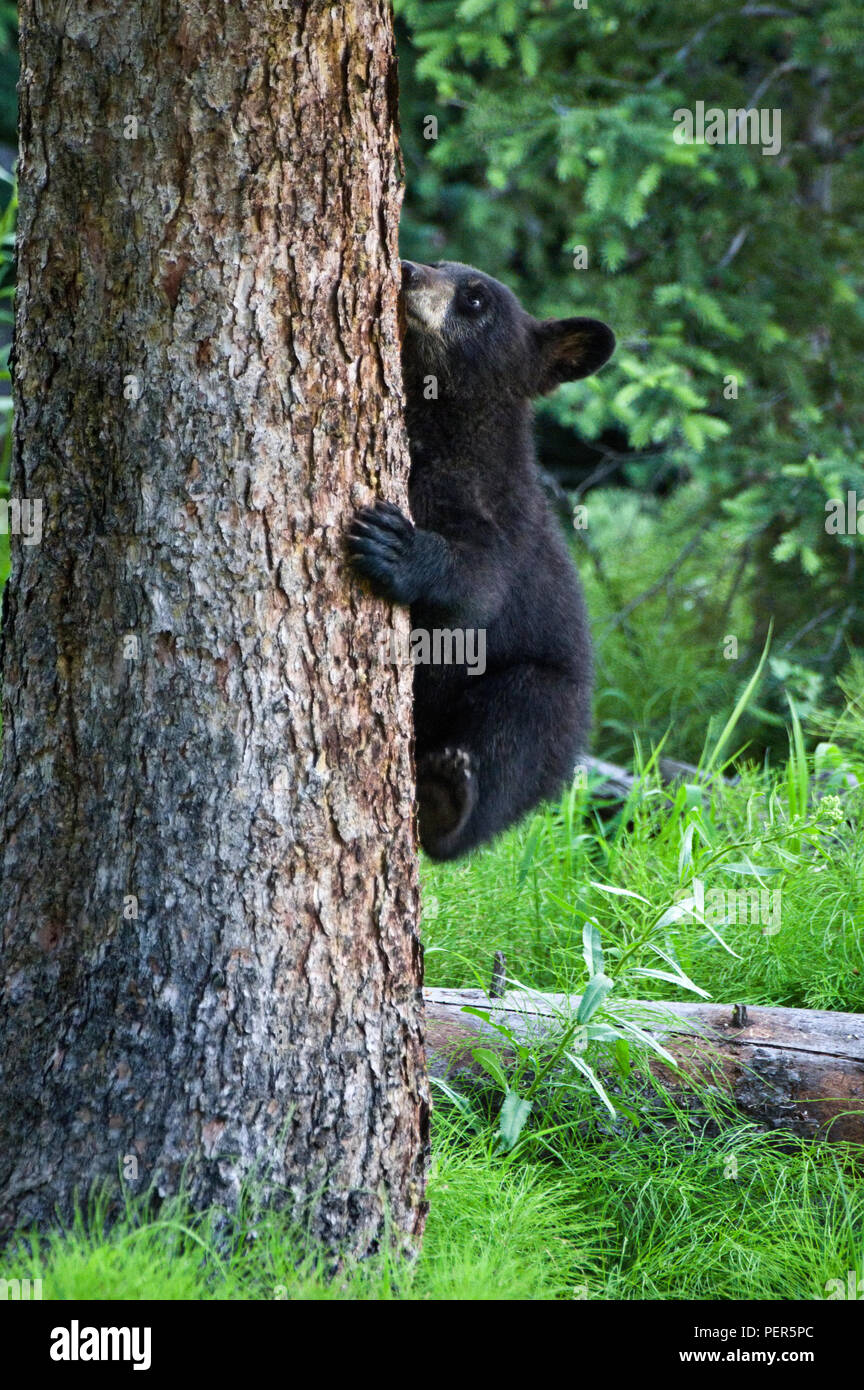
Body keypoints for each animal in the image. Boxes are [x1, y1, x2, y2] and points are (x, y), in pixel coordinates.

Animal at [347, 260, 615, 860]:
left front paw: (395, 546)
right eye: (439, 266)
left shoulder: (494, 504)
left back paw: (446, 795)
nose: (407, 268)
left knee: (514, 734)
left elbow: (479, 586)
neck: (438, 423)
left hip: (547, 705)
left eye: (475, 299)